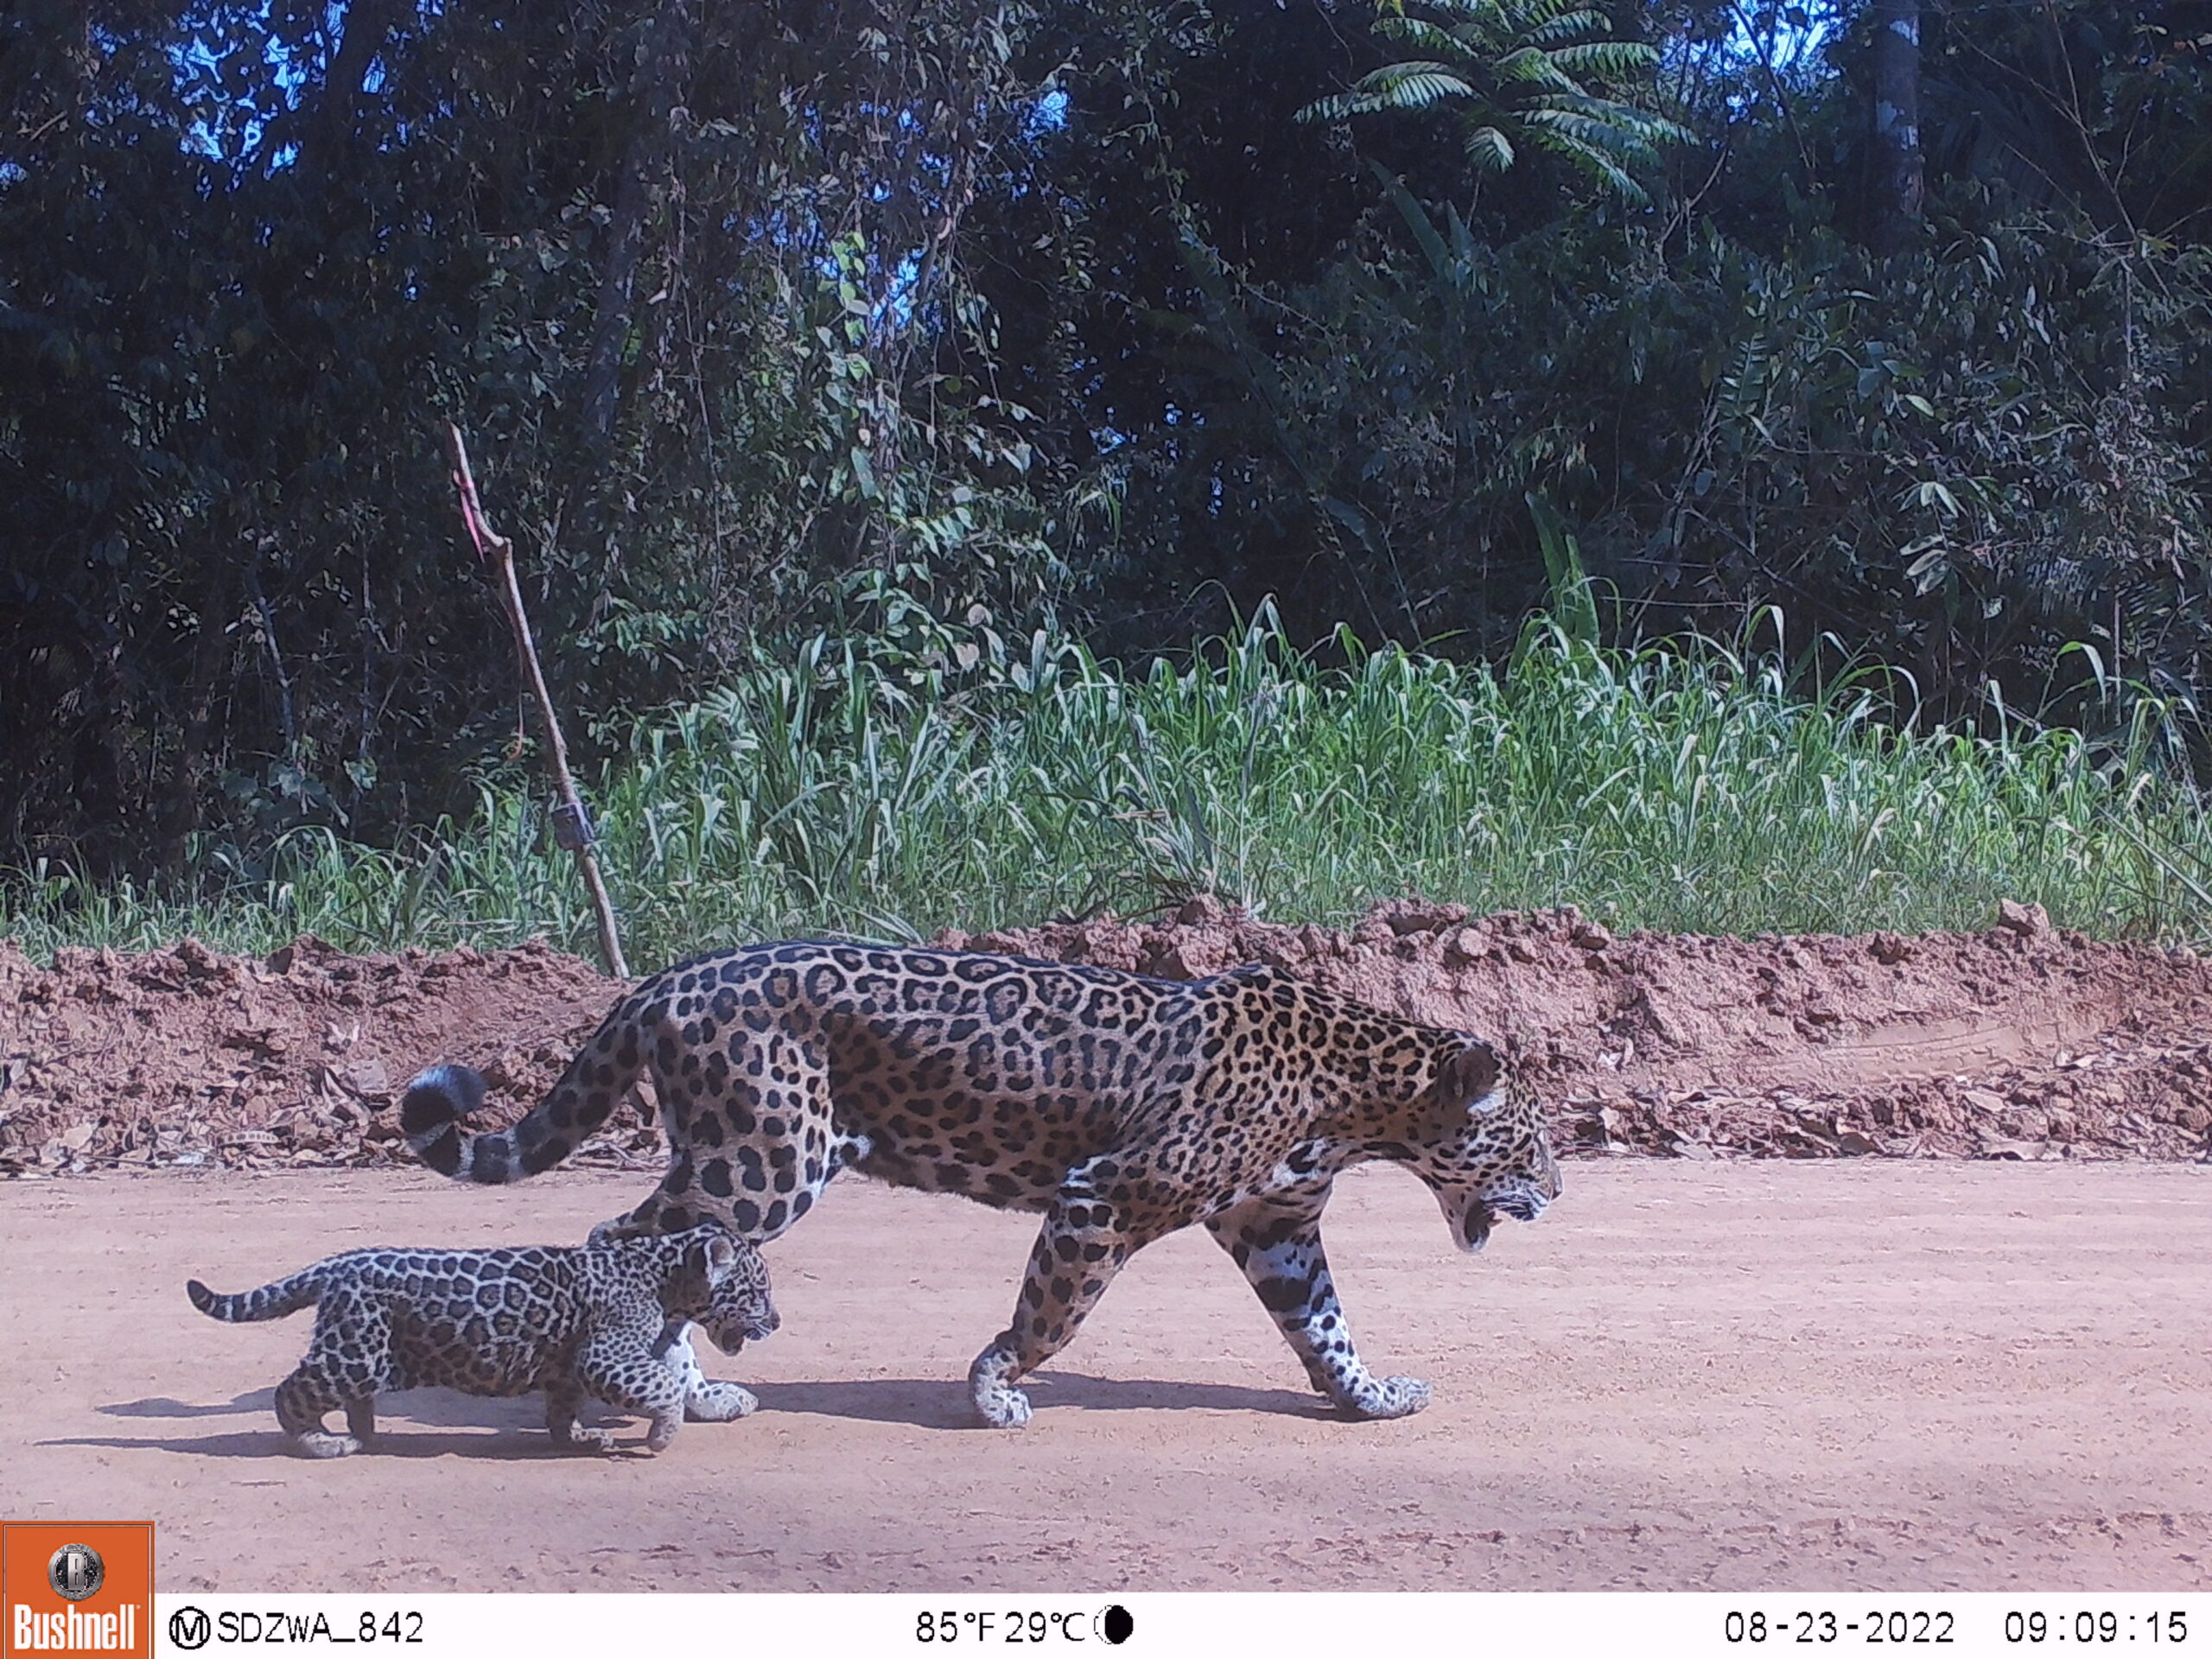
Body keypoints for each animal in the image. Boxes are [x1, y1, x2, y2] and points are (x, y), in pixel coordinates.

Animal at [186, 1222, 777, 1457]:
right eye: (759, 1290)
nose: (775, 1321)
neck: (661, 1272)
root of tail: (340, 1263)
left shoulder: (570, 1367)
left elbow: (562, 1410)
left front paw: (580, 1438)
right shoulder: (608, 1357)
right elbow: (664, 1387)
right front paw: (660, 1435)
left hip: (364, 1351)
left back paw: (363, 1428)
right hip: (352, 1353)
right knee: (291, 1391)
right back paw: (321, 1442)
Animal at [398, 941, 1560, 1429]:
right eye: (1533, 1142)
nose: (1560, 1194)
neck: (1363, 1097)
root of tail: (663, 980)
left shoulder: (1274, 1224)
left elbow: (1323, 1324)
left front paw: (1369, 1399)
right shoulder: (1102, 1197)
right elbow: (1049, 1317)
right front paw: (995, 1390)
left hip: (744, 1162)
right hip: (761, 1163)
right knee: (623, 1240)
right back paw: (670, 1389)